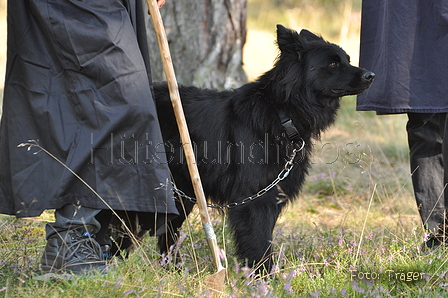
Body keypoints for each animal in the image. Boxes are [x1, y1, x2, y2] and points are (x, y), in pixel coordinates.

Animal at [154, 24, 374, 274]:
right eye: (333, 64)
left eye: (347, 60)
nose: (371, 75)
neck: (282, 112)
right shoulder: (253, 199)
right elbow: (258, 242)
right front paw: (263, 277)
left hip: (183, 192)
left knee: (167, 231)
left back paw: (172, 268)